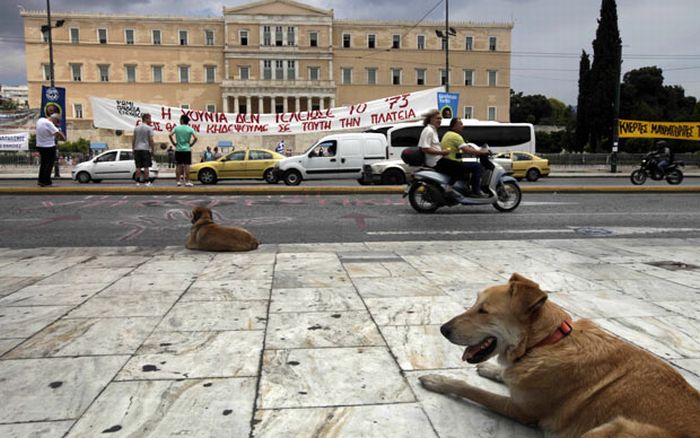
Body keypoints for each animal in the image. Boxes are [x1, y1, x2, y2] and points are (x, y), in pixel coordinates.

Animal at [422, 274, 700, 438]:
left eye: (484, 311)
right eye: (474, 304)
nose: (442, 329)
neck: (545, 343)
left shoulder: (521, 410)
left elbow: (472, 390)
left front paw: (439, 381)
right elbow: (505, 374)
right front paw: (494, 370)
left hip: (617, 428)